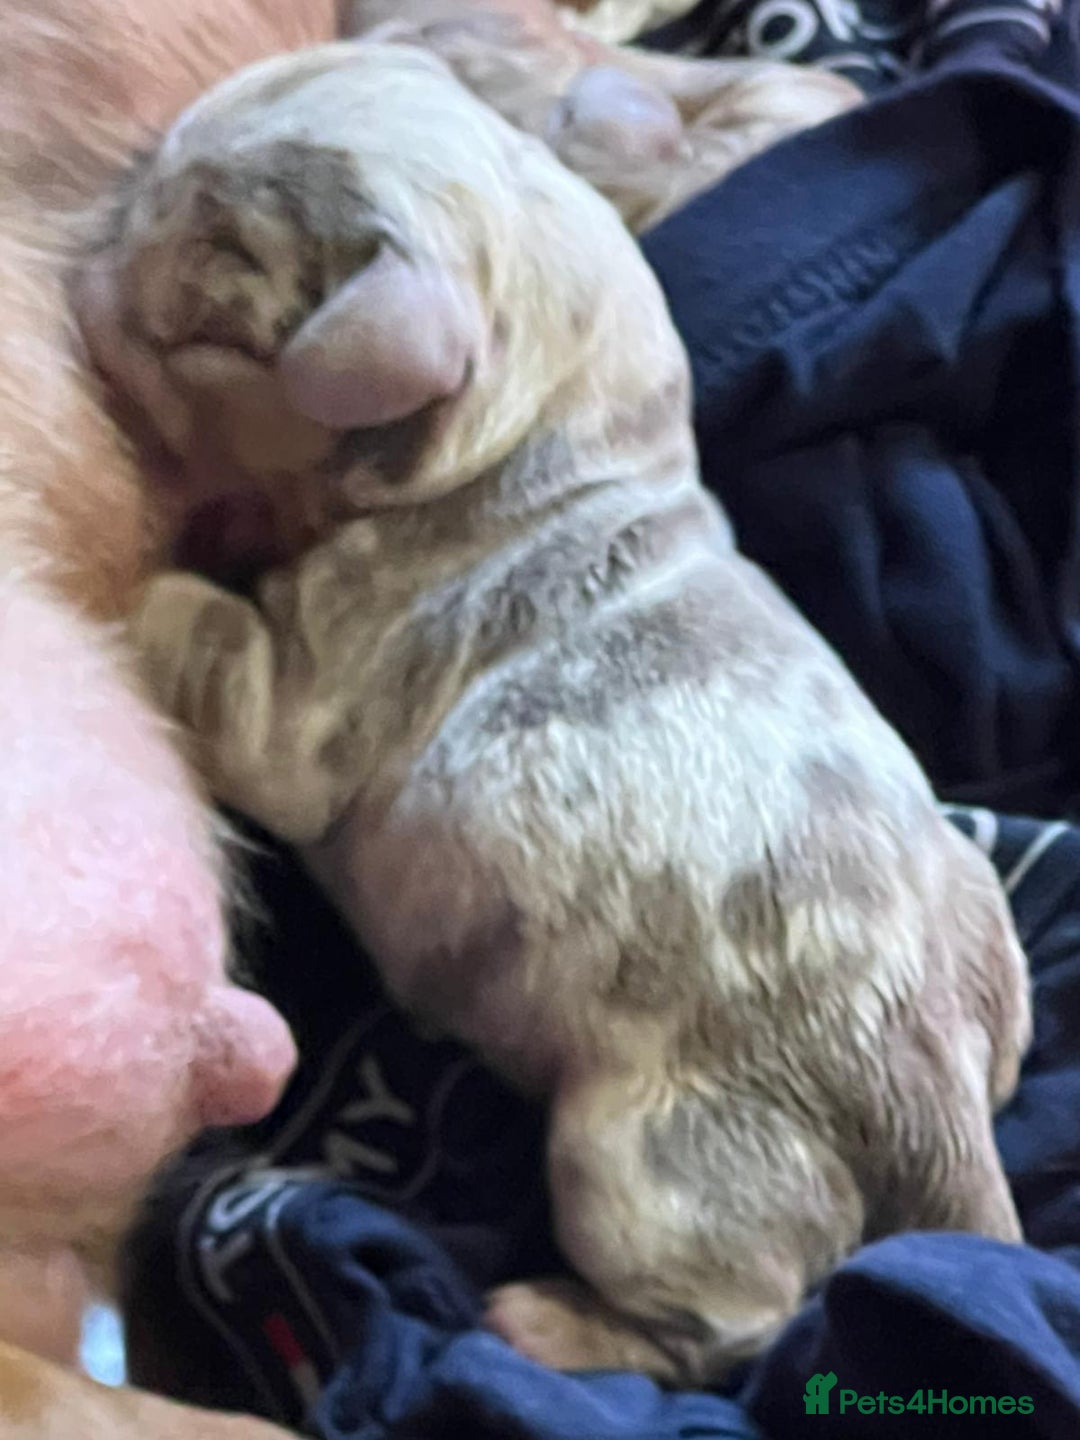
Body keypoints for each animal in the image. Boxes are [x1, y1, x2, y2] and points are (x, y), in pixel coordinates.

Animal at [76, 39, 1031, 1387]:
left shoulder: (304, 704)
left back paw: (549, 1323)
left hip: (646, 1160)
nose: (101, 234)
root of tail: (935, 1100)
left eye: (207, 310)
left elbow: (197, 628)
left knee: (730, 1320)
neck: (559, 449)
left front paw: (147, 570)